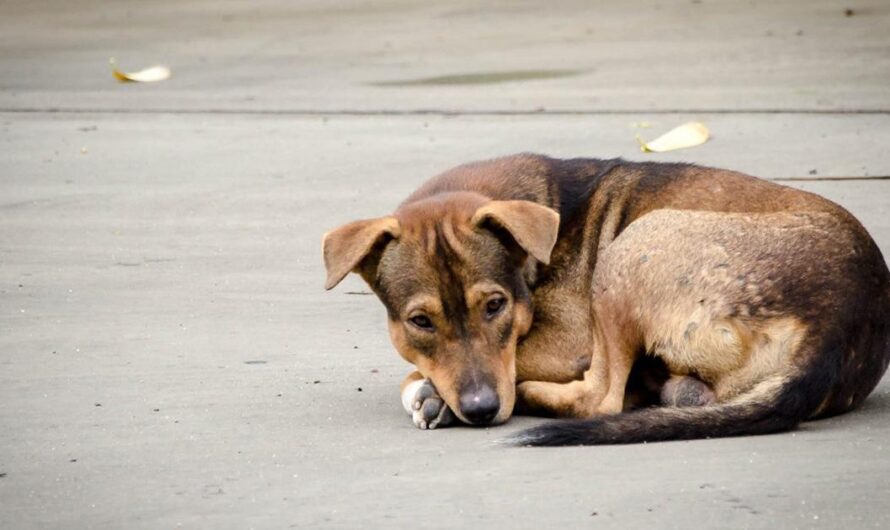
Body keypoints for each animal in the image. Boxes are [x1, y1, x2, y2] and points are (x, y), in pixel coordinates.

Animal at [320, 154, 888, 446]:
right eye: (420, 321)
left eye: (495, 306)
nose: (481, 410)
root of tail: (836, 330)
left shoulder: (567, 339)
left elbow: (427, 372)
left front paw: (429, 392)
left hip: (631, 247)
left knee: (602, 397)